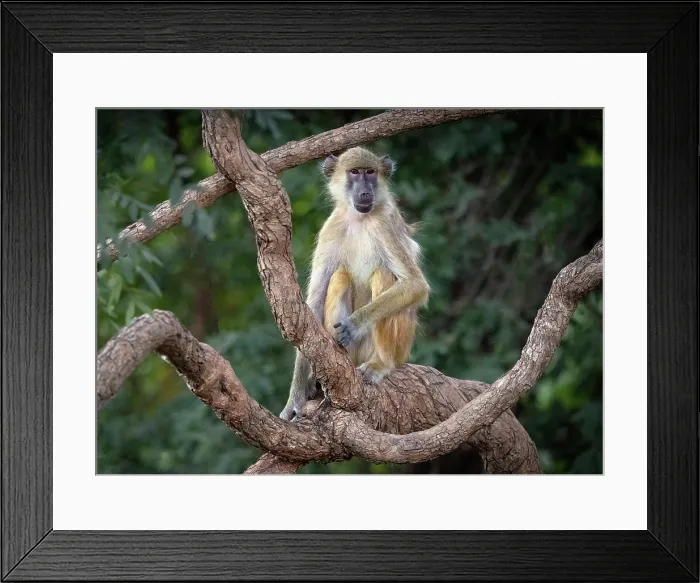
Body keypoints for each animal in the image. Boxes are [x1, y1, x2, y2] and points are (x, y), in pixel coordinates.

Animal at [279, 146, 430, 421]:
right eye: (354, 172)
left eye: (370, 172)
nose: (364, 192)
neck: (360, 218)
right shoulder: (331, 228)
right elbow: (313, 305)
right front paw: (295, 397)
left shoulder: (385, 222)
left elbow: (415, 285)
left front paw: (355, 323)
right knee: (340, 276)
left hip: (401, 346)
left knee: (383, 274)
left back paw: (382, 363)